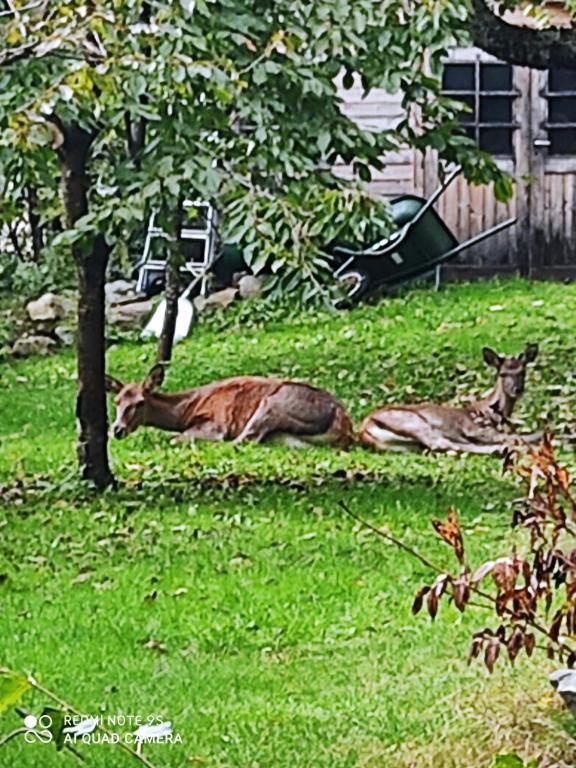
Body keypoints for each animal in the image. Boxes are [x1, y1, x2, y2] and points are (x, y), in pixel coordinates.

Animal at [105, 364, 354, 448]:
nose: (117, 429)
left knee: (242, 440)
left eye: (140, 402)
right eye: (116, 401)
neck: (186, 412)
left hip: (272, 404)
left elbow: (176, 438)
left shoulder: (217, 423)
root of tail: (345, 426)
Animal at [360, 344, 540, 456]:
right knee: (443, 444)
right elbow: (514, 436)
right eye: (502, 374)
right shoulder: (474, 427)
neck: (492, 413)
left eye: (523, 372)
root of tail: (363, 430)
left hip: (409, 443)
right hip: (414, 422)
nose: (517, 390)